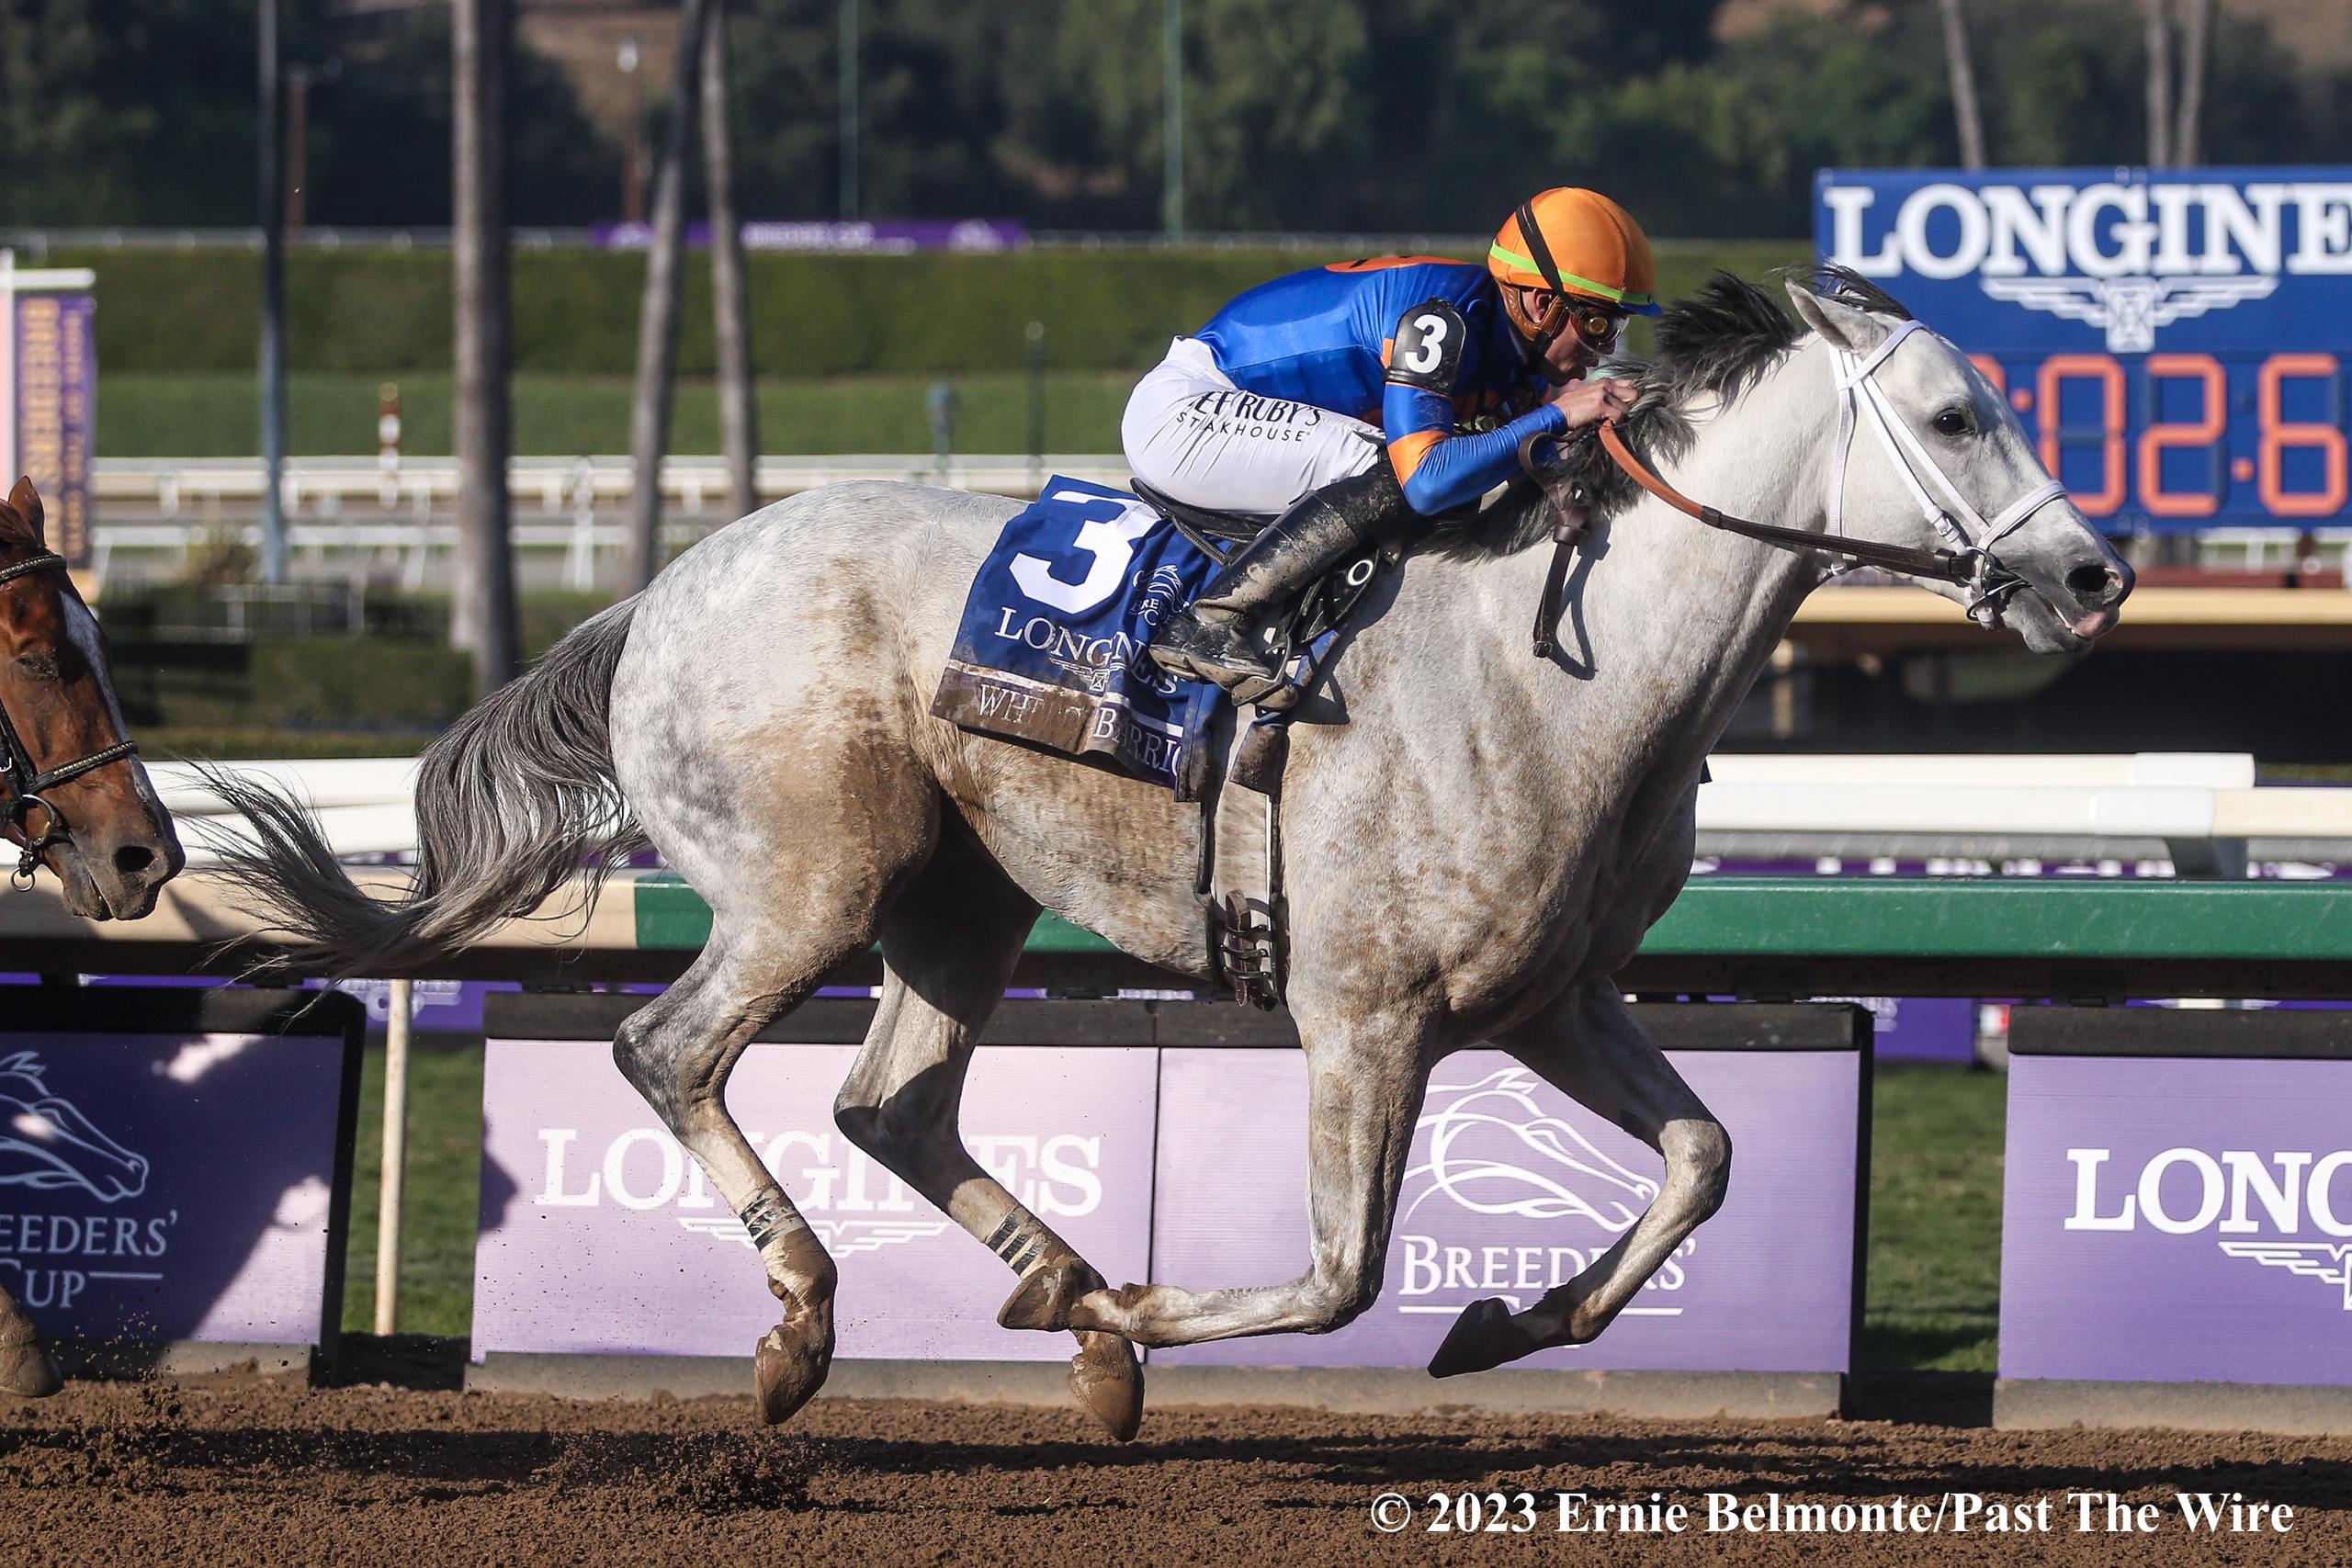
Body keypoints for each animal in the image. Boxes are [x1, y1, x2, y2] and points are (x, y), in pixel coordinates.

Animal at [205, 270, 2130, 1440]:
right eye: (1958, 418)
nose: (2095, 573)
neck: (1558, 670)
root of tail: (664, 587)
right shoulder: (1368, 1011)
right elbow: (1344, 1271)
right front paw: (1143, 1316)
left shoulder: (1550, 997)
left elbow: (1708, 1157)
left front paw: (1511, 1322)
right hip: (809, 884)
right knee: (670, 1051)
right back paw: (814, 1314)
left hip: (960, 898)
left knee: (889, 1103)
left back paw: (1051, 1282)